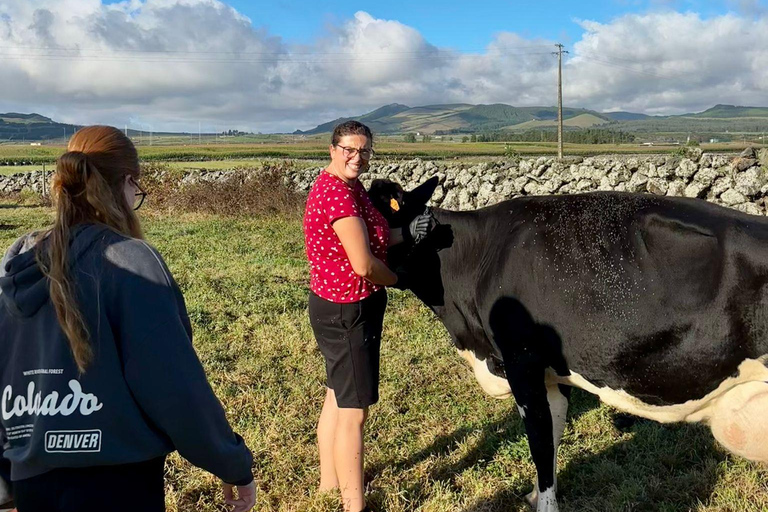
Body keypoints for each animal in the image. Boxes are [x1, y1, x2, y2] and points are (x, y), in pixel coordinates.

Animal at [366, 177, 768, 512]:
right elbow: (555, 432)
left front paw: (545, 506)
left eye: (370, 215)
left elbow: (540, 442)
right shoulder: (551, 371)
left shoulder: (522, 362)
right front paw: (536, 495)